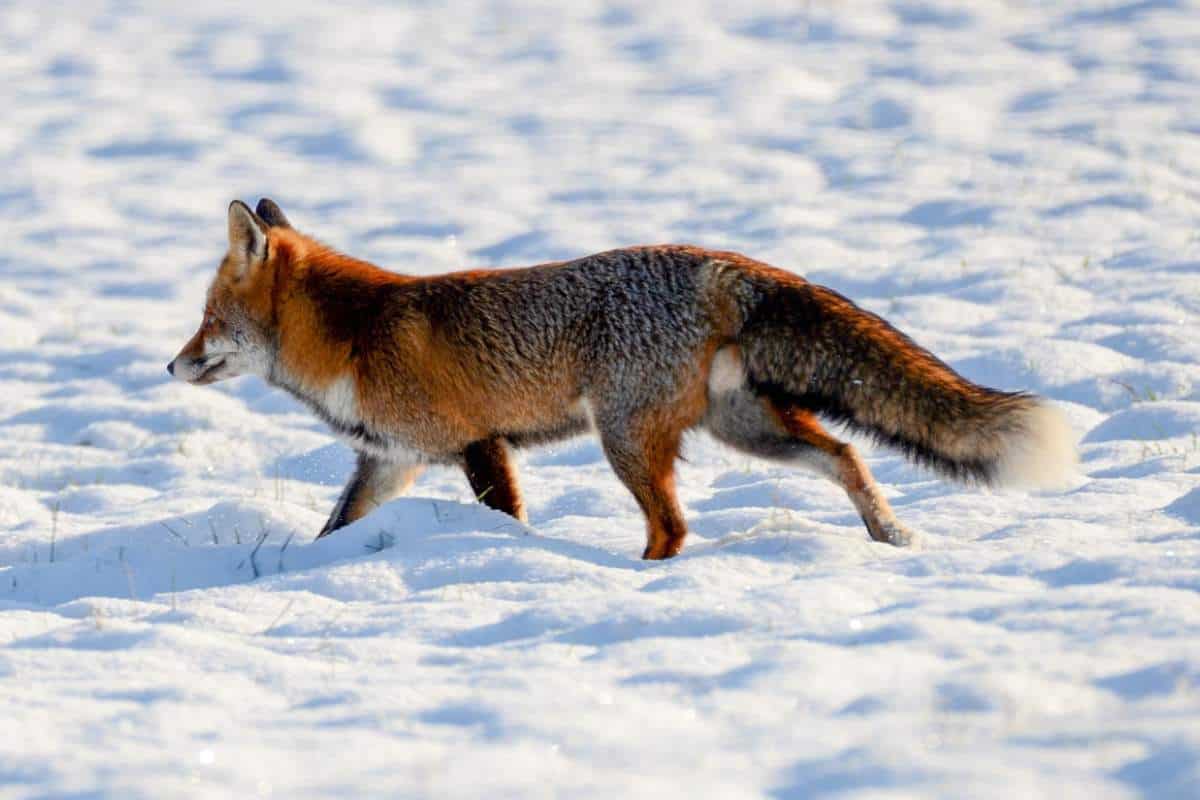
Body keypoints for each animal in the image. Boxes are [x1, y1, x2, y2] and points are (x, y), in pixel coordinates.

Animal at [166, 200, 1080, 561]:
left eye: (207, 318)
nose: (169, 365)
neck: (353, 340)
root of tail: (721, 262)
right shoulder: (392, 461)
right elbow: (334, 533)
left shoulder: (477, 445)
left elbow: (507, 519)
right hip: (745, 430)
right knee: (848, 459)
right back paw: (889, 537)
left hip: (626, 439)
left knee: (674, 526)